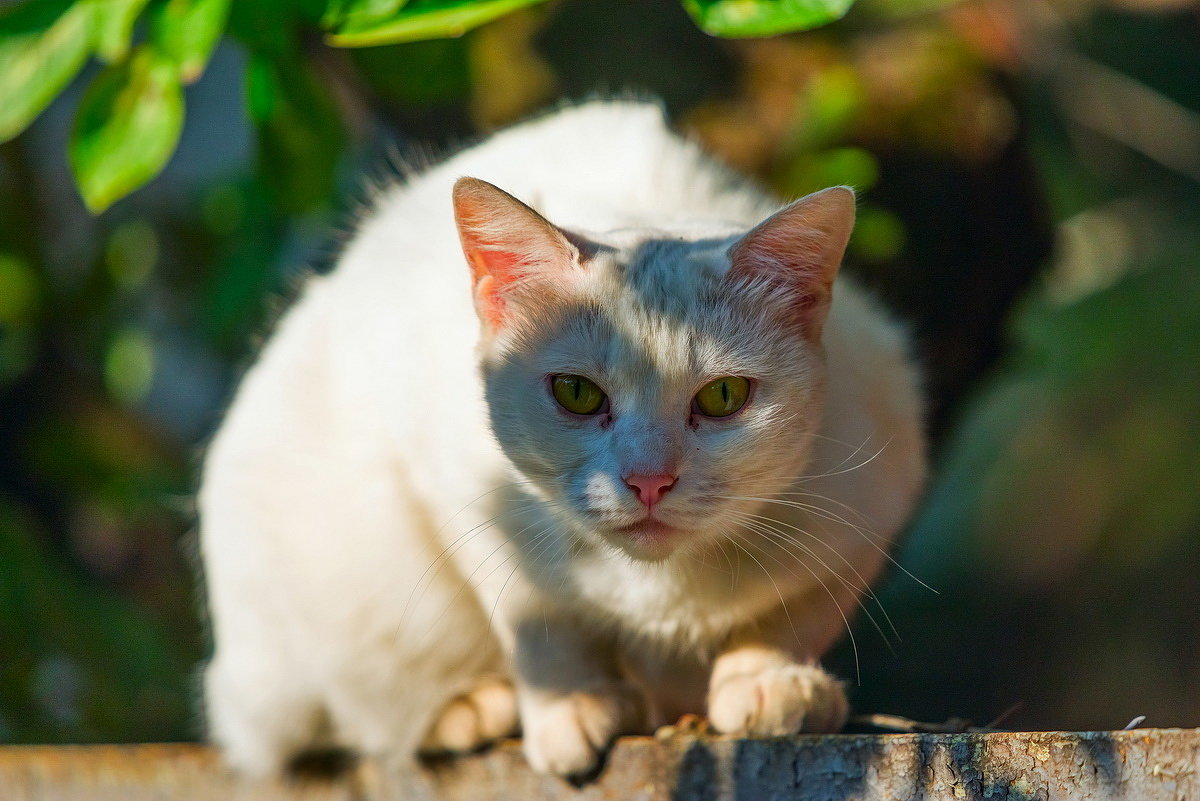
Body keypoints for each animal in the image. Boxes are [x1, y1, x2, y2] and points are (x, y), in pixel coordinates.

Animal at [199, 98, 926, 777]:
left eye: (722, 397)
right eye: (577, 393)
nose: (648, 479)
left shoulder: (870, 504)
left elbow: (791, 613)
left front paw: (772, 680)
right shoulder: (461, 495)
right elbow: (540, 621)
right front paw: (571, 707)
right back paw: (465, 708)